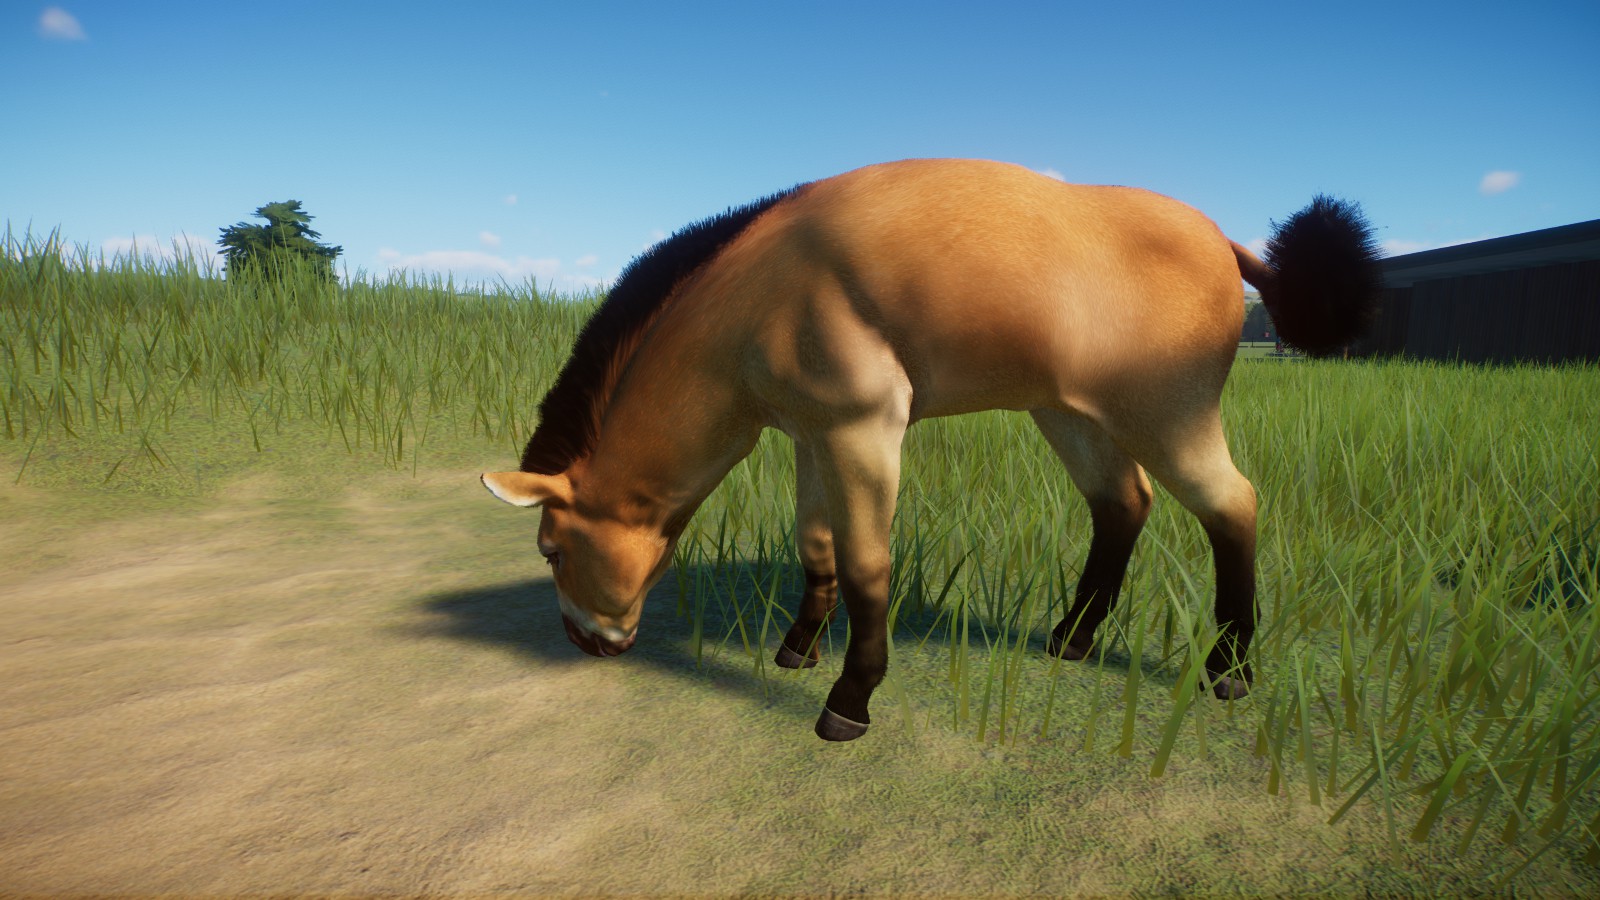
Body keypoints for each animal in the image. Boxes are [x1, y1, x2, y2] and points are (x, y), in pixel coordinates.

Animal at [483, 158, 1381, 741]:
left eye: (552, 548)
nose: (584, 641)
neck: (755, 301)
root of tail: (1228, 241)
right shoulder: (813, 433)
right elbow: (817, 547)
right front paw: (796, 649)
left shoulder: (865, 424)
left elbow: (867, 562)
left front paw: (848, 702)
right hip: (1073, 415)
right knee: (1122, 504)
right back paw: (1071, 638)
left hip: (1168, 413)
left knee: (1234, 505)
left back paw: (1230, 672)